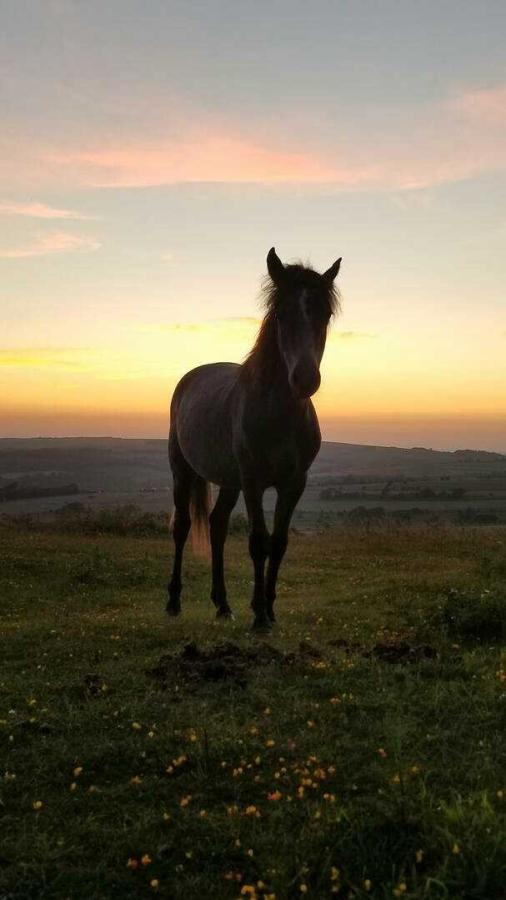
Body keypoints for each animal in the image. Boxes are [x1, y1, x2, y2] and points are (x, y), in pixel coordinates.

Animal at [168, 246, 342, 632]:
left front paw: (269, 609)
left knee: (216, 525)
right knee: (182, 526)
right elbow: (258, 542)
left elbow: (278, 543)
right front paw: (260, 616)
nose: (305, 379)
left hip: (228, 481)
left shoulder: (294, 483)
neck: (279, 414)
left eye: (324, 313)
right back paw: (172, 602)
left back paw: (222, 605)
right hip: (183, 470)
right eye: (281, 313)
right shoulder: (253, 481)